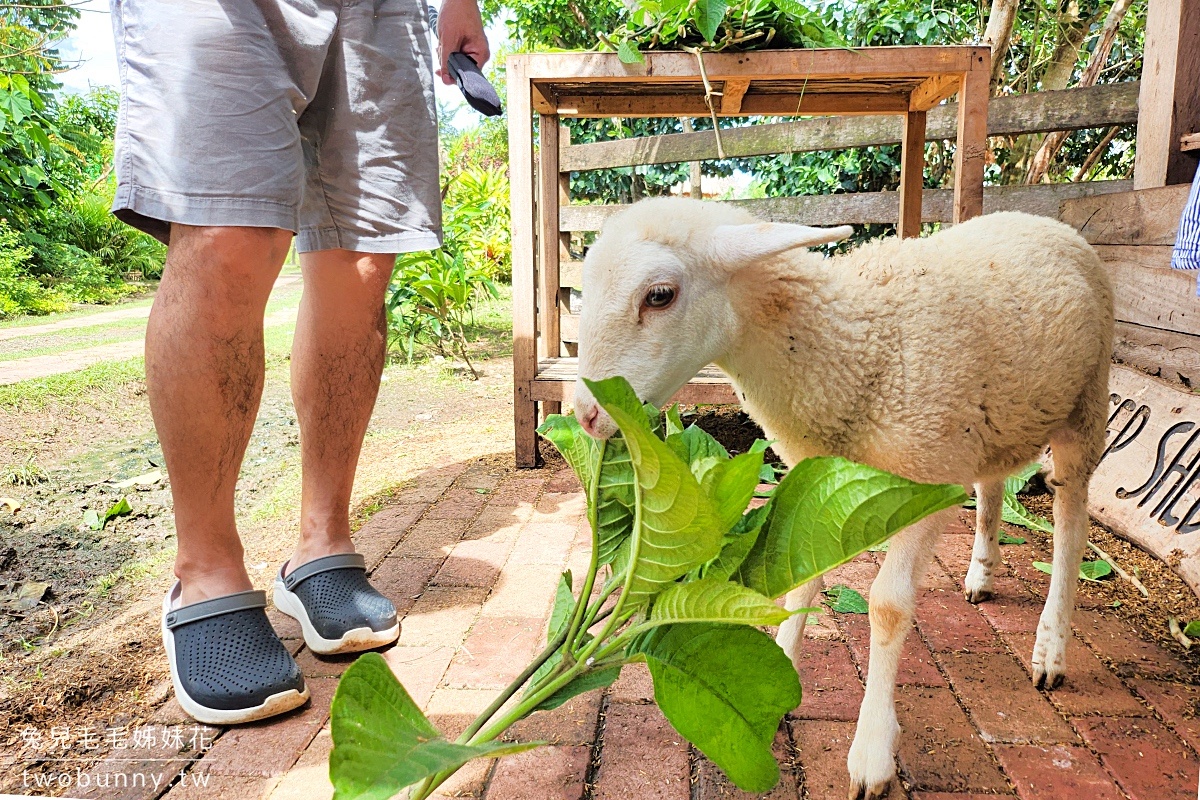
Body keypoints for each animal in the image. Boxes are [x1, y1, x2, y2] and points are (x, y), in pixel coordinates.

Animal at [571, 196, 1113, 796]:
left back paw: (1050, 648)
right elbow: (800, 581)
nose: (585, 414)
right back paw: (981, 574)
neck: (854, 344)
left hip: (1085, 404)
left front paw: (872, 750)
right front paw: (782, 673)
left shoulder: (928, 478)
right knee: (993, 485)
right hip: (997, 420)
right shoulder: (822, 473)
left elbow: (889, 606)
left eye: (660, 295)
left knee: (1072, 523)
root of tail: (1040, 219)